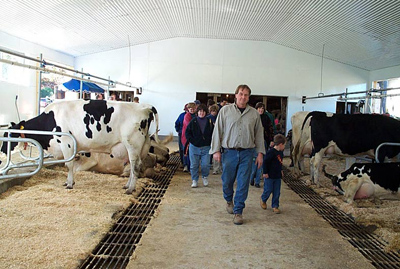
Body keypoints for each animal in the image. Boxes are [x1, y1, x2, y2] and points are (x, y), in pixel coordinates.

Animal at [0, 98, 159, 193]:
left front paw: (69, 184)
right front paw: (68, 182)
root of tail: (145, 107)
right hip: (141, 146)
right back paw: (127, 185)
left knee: (135, 166)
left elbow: (69, 165)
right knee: (133, 166)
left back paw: (130, 189)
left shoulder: (67, 142)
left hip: (132, 144)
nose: (2, 151)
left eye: (10, 135)